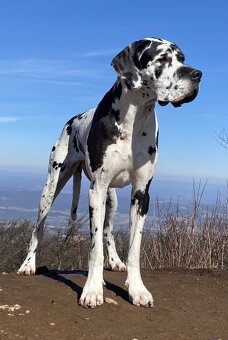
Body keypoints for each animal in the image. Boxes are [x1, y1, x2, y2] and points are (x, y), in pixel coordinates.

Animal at [17, 37, 201, 308]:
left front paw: (137, 289)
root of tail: (72, 120)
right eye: (163, 58)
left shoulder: (141, 194)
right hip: (51, 188)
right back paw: (28, 264)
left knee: (108, 230)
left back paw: (114, 261)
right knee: (37, 228)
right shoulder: (96, 191)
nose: (197, 75)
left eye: (182, 58)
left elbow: (133, 248)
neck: (134, 117)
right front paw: (92, 290)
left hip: (111, 198)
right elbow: (94, 250)